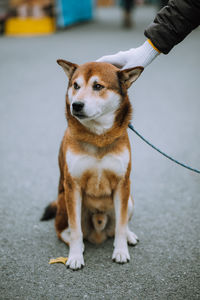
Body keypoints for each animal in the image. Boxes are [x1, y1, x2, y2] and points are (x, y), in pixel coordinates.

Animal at [41, 59, 143, 270]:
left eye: (97, 86)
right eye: (76, 86)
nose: (76, 105)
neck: (98, 137)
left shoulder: (123, 183)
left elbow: (121, 226)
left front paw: (121, 251)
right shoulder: (72, 185)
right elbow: (75, 230)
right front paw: (75, 256)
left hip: (129, 200)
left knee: (119, 226)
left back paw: (129, 236)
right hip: (64, 201)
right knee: (63, 231)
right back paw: (77, 245)